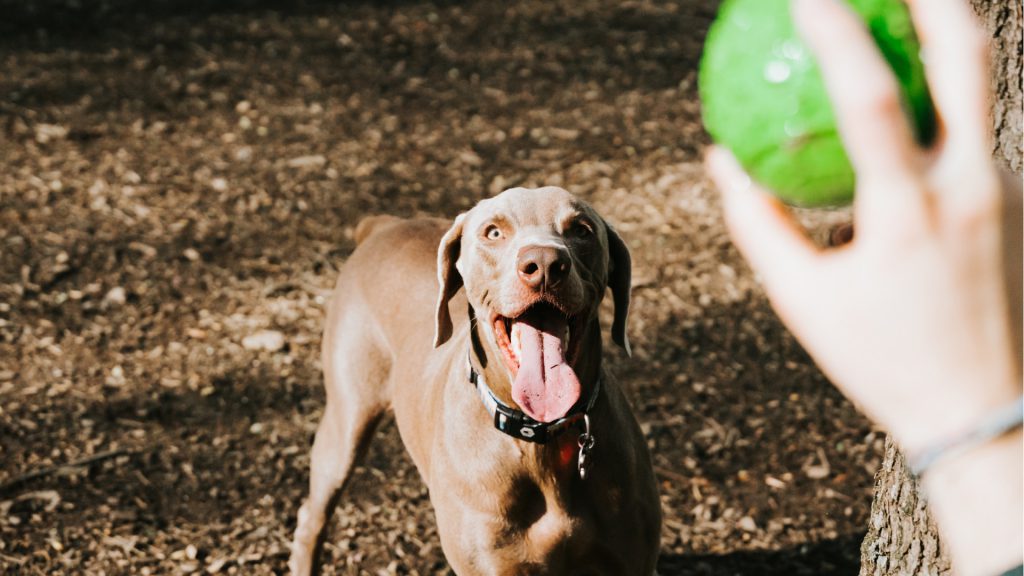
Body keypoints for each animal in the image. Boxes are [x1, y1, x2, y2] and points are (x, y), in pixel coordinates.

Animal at [288, 187, 663, 573]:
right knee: (312, 516)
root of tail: (384, 227)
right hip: (346, 423)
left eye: (582, 230)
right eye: (493, 232)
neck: (540, 437)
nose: (545, 264)